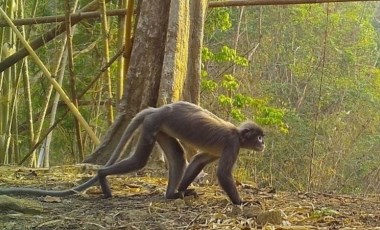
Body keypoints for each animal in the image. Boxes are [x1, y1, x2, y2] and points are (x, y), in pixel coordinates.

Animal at [0, 101, 264, 204]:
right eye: (259, 137)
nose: (263, 144)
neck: (238, 134)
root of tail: (158, 109)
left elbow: (199, 159)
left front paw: (183, 191)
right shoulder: (232, 144)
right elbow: (222, 174)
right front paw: (242, 202)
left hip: (159, 128)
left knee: (177, 156)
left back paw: (172, 194)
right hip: (153, 124)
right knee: (139, 160)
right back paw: (103, 176)